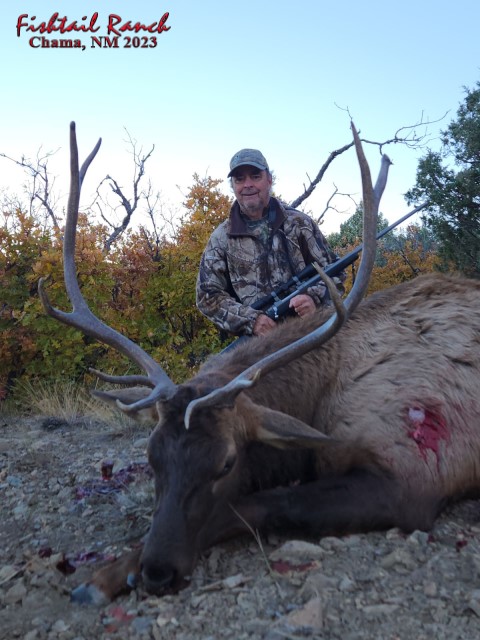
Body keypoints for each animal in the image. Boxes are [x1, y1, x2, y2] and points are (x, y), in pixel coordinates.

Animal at [39, 122, 480, 605]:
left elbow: (257, 505)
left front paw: (113, 573)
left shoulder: (413, 477)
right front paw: (106, 574)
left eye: (226, 463)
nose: (157, 572)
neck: (318, 400)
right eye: (151, 457)